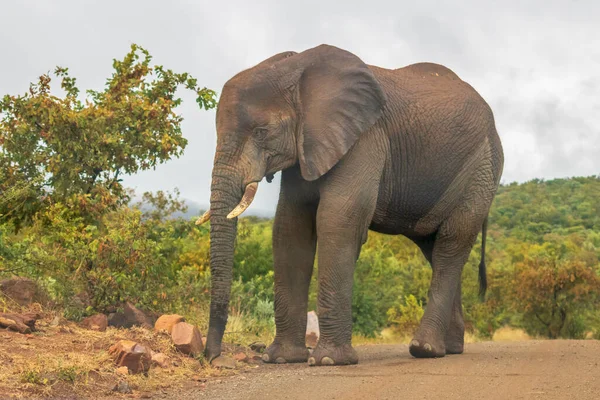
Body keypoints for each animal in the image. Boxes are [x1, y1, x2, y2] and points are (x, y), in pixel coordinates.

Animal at [199, 43, 504, 366]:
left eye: (261, 131)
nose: (212, 357)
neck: (298, 68)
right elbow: (290, 227)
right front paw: (281, 359)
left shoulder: (364, 138)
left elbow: (337, 221)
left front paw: (328, 361)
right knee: (434, 248)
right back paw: (450, 348)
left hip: (482, 168)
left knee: (451, 244)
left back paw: (425, 349)